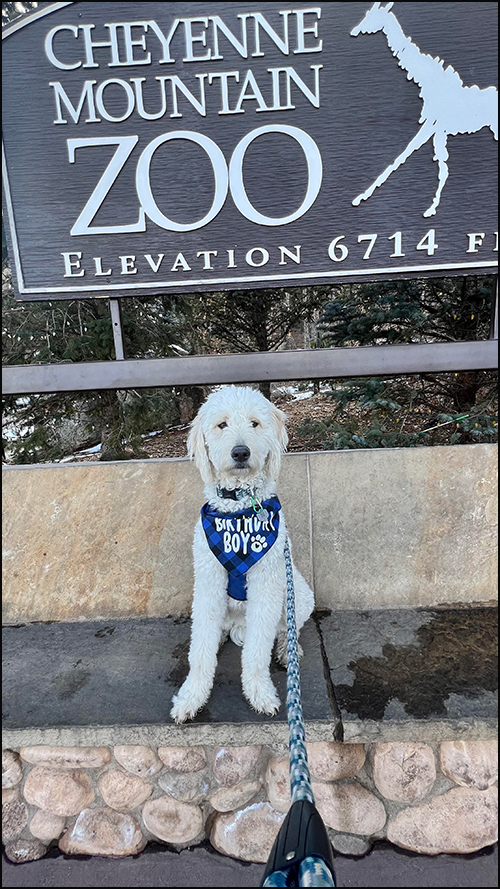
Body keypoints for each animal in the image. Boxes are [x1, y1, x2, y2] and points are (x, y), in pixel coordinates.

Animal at [170, 384, 314, 720]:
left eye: (255, 423)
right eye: (221, 424)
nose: (240, 453)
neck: (238, 509)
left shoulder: (266, 585)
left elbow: (258, 650)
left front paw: (259, 691)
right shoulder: (208, 582)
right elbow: (200, 650)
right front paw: (192, 697)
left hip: (298, 594)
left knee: (285, 630)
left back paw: (288, 651)